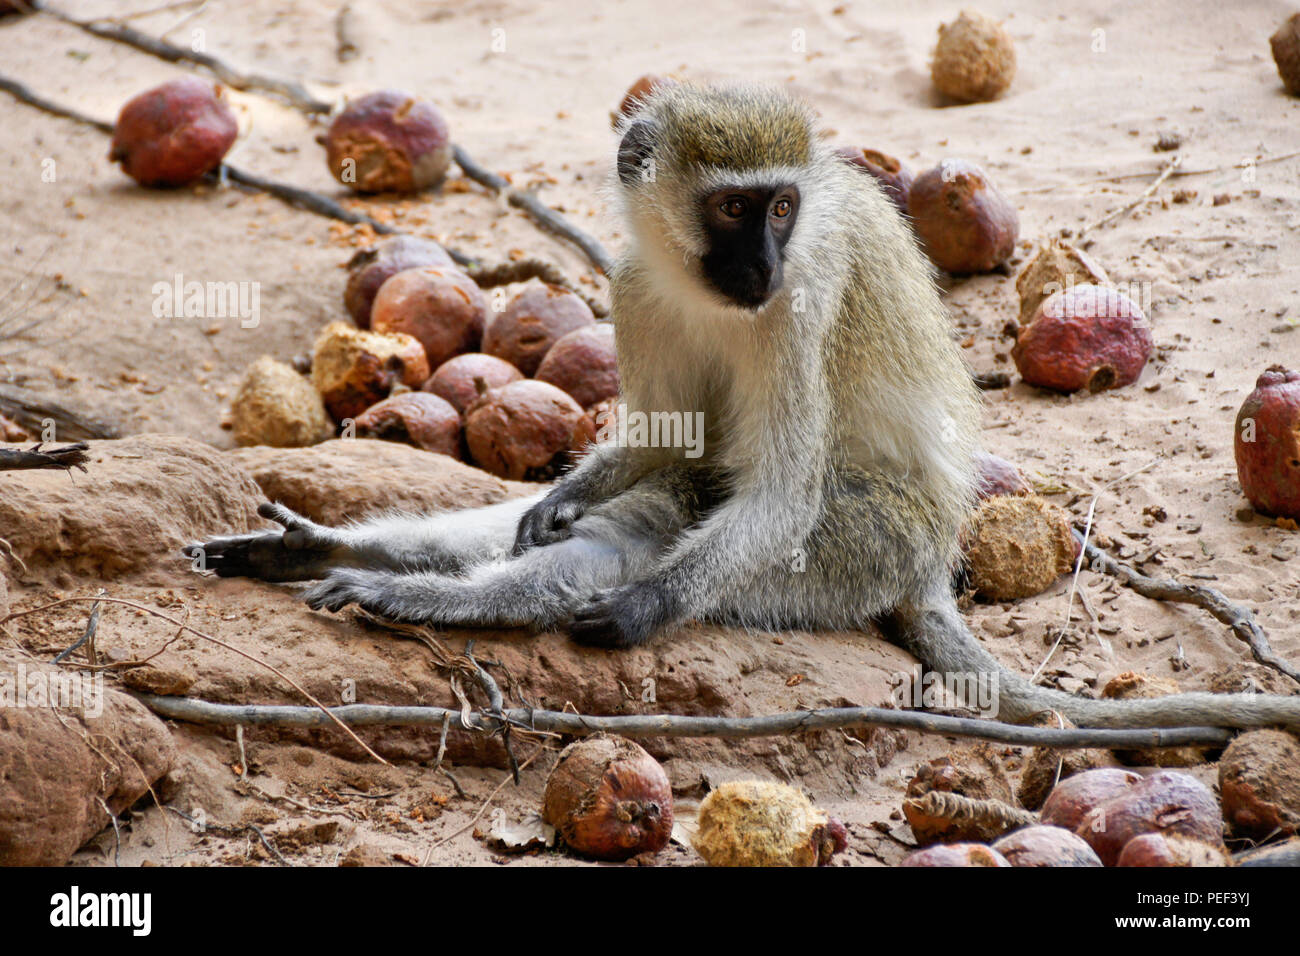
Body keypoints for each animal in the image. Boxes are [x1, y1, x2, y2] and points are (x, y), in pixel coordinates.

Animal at [186, 83, 1300, 732]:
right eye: (731, 207)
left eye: (782, 208)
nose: (761, 264)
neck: (700, 282)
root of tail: (932, 559)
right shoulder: (632, 283)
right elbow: (648, 439)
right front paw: (562, 492)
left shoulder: (796, 307)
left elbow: (777, 494)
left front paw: (639, 608)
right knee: (595, 513)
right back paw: (326, 551)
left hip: (858, 551)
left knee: (635, 546)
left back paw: (410, 593)